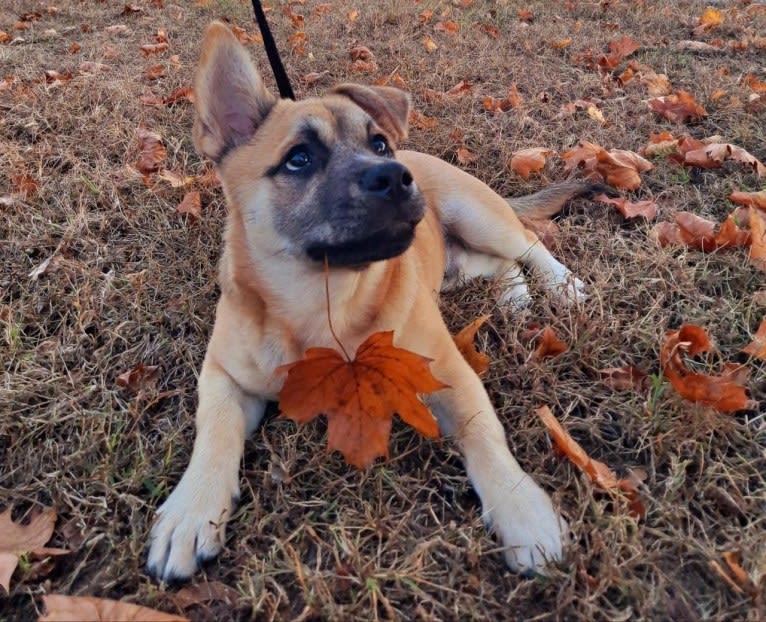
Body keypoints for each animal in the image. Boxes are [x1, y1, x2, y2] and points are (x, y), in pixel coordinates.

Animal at [147, 20, 596, 584]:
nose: (395, 176)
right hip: (457, 263)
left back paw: (563, 286)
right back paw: (514, 297)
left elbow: (484, 435)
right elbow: (214, 433)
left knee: (529, 242)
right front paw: (191, 511)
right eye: (299, 158)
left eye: (378, 143)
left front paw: (523, 511)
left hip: (474, 213)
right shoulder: (224, 377)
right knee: (499, 264)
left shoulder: (449, 371)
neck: (326, 303)